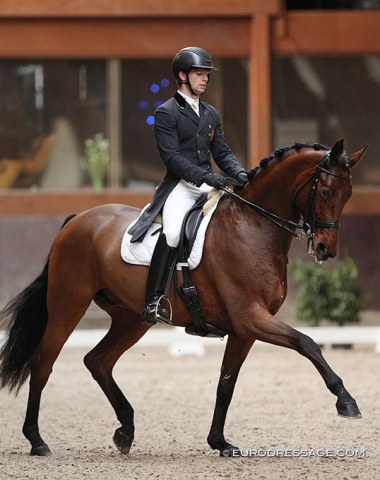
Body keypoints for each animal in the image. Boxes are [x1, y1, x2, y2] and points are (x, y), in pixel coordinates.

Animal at [0, 139, 366, 458]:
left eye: (348, 195)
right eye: (327, 191)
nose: (325, 250)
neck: (253, 226)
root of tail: (77, 219)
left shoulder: (245, 329)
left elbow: (226, 383)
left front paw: (219, 442)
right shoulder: (251, 317)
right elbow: (308, 343)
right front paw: (346, 401)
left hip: (131, 319)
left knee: (98, 361)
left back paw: (125, 430)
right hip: (68, 305)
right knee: (43, 363)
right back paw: (37, 441)